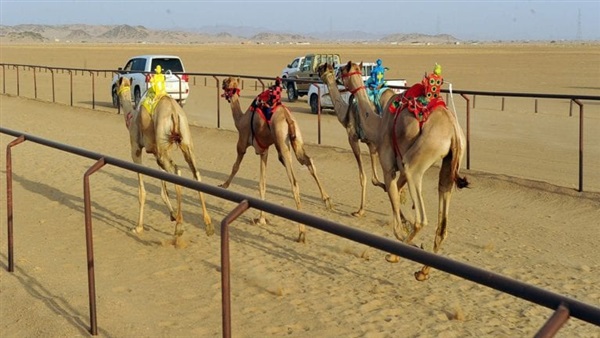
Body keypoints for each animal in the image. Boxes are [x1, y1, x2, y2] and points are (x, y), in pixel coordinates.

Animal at [115, 77, 213, 240]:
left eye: (116, 83)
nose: (113, 90)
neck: (131, 117)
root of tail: (174, 112)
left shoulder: (136, 149)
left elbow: (142, 191)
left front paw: (138, 227)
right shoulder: (156, 151)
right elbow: (163, 189)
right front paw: (172, 214)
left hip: (163, 141)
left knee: (178, 172)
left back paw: (179, 226)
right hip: (184, 142)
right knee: (196, 174)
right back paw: (208, 224)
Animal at [220, 76, 332, 243]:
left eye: (227, 82)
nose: (222, 84)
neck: (240, 120)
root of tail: (287, 117)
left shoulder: (243, 142)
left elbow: (236, 166)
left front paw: (224, 185)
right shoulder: (264, 151)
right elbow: (262, 183)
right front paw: (261, 219)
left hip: (282, 141)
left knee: (294, 182)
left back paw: (302, 233)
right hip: (296, 139)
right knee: (309, 161)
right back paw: (327, 201)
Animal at [338, 60, 468, 280]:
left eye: (342, 70)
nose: (334, 73)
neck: (378, 124)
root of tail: (453, 130)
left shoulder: (389, 166)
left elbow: (396, 216)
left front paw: (406, 242)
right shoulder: (399, 171)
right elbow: (396, 195)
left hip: (419, 158)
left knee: (422, 220)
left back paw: (395, 255)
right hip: (449, 164)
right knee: (442, 220)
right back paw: (423, 271)